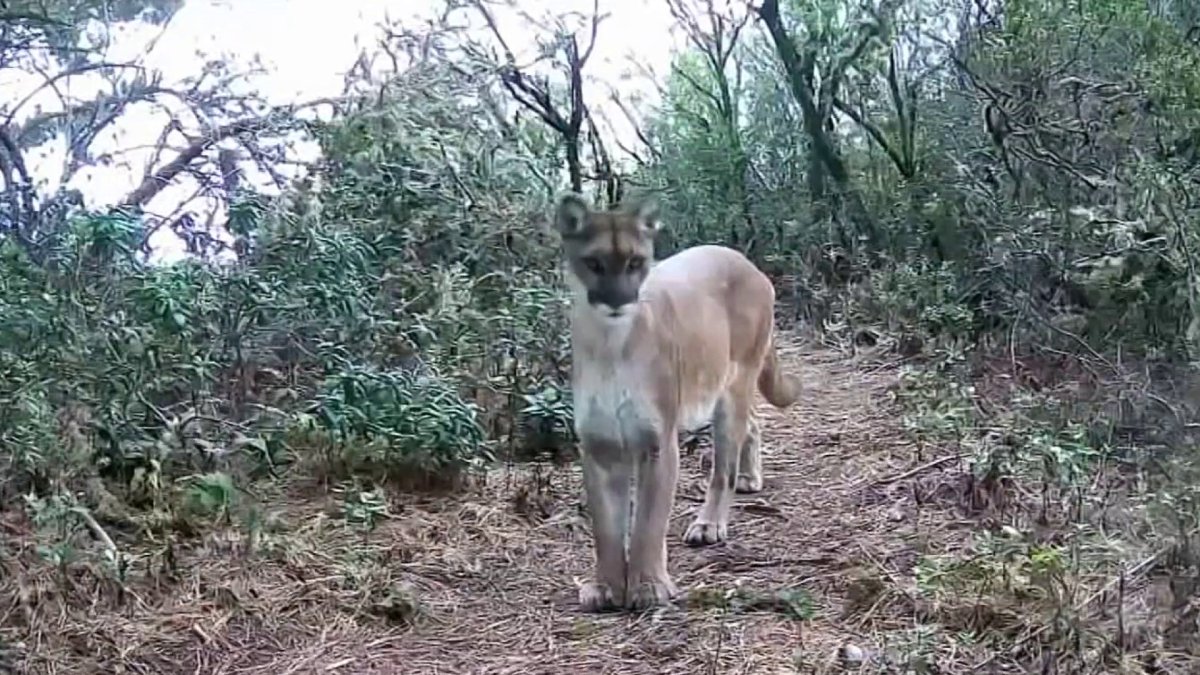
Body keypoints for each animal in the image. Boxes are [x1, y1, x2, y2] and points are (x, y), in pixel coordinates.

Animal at [553, 191, 801, 612]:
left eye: (636, 262)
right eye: (595, 262)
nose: (619, 300)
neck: (610, 345)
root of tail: (745, 261)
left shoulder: (658, 443)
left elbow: (648, 523)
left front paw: (649, 586)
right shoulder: (599, 445)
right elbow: (605, 526)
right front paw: (605, 587)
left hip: (733, 384)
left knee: (723, 466)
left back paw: (710, 522)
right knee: (752, 423)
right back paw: (750, 477)